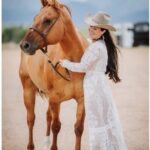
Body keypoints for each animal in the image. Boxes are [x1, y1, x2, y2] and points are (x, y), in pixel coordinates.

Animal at [19, 0, 88, 150]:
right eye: (34, 18)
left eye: (47, 20)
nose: (24, 45)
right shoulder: (55, 99)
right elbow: (56, 127)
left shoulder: (82, 99)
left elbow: (78, 128)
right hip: (28, 90)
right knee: (31, 119)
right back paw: (31, 145)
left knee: (47, 117)